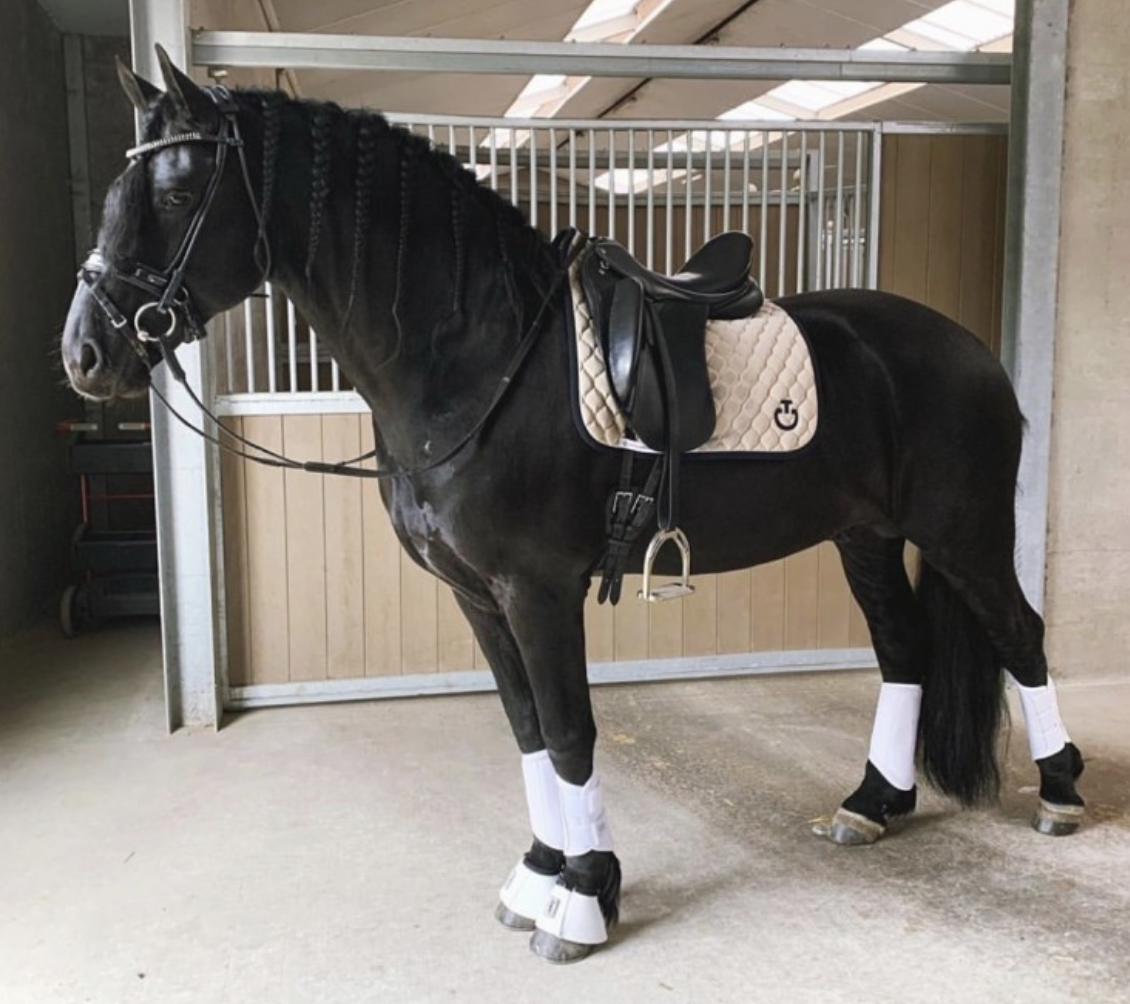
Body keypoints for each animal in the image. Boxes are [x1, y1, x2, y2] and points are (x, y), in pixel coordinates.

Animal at [60, 49, 1086, 964]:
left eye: (179, 195)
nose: (84, 356)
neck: (480, 361)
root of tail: (968, 349)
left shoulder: (537, 589)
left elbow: (568, 731)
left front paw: (585, 899)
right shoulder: (476, 594)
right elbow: (525, 729)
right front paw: (540, 873)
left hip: (963, 534)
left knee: (1022, 636)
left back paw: (1060, 793)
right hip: (866, 537)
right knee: (904, 649)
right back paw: (875, 803)